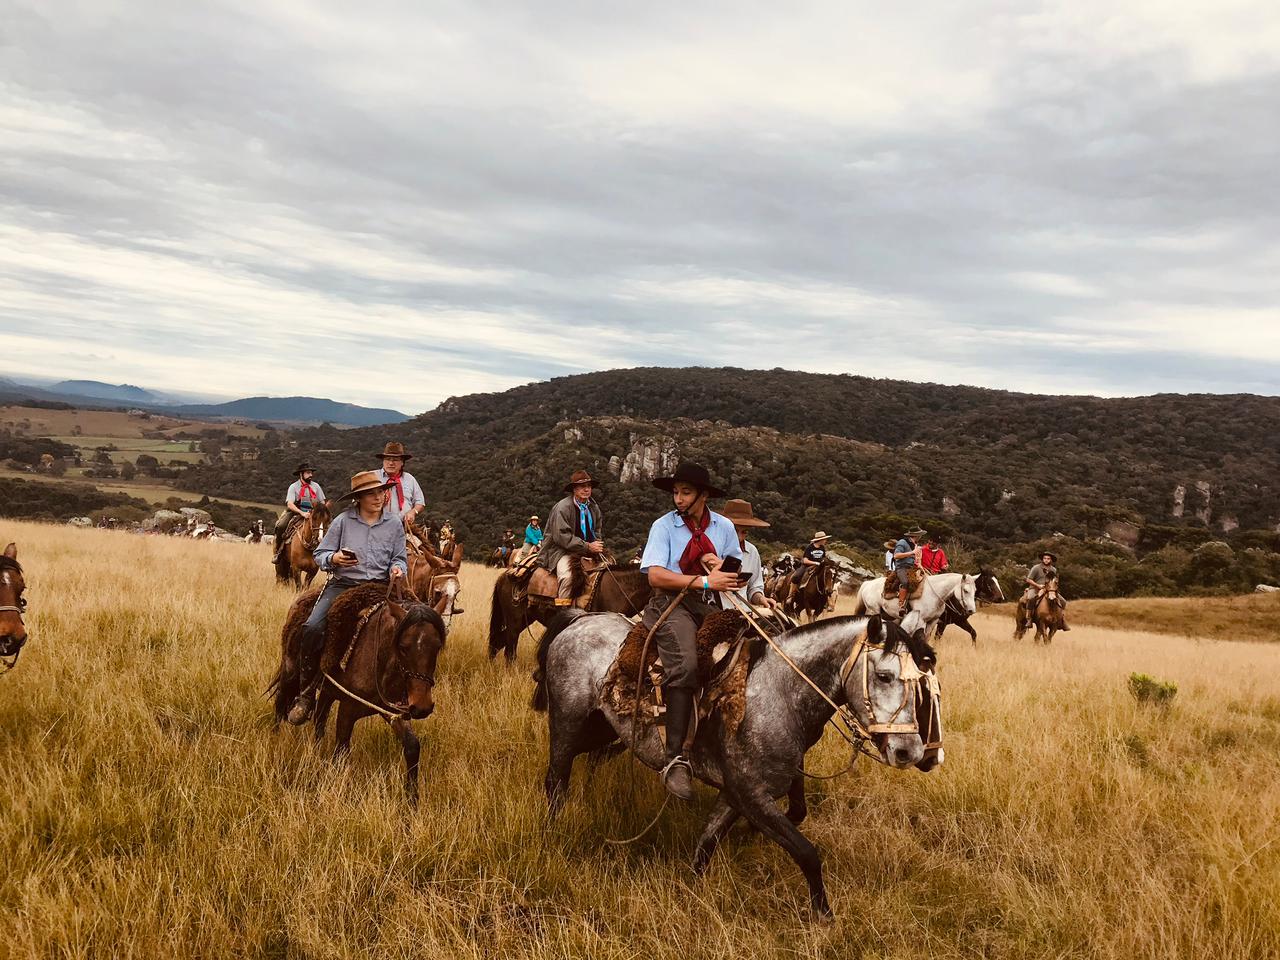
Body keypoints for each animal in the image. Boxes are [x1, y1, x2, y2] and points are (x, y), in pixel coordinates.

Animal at [267, 586, 453, 803]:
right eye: (403, 647)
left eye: (437, 646)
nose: (422, 707)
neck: (379, 658)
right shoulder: (347, 710)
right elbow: (341, 750)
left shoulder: (393, 711)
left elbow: (412, 747)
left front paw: (412, 799)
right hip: (290, 671)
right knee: (281, 703)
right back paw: (276, 737)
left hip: (328, 691)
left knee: (320, 718)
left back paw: (316, 749)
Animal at [529, 611, 942, 921]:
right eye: (884, 676)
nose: (909, 751)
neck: (778, 693)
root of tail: (580, 620)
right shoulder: (751, 795)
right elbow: (806, 853)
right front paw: (824, 917)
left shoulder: (734, 794)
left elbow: (706, 846)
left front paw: (691, 893)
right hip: (567, 725)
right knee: (555, 781)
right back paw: (552, 831)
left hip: (604, 729)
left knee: (589, 762)